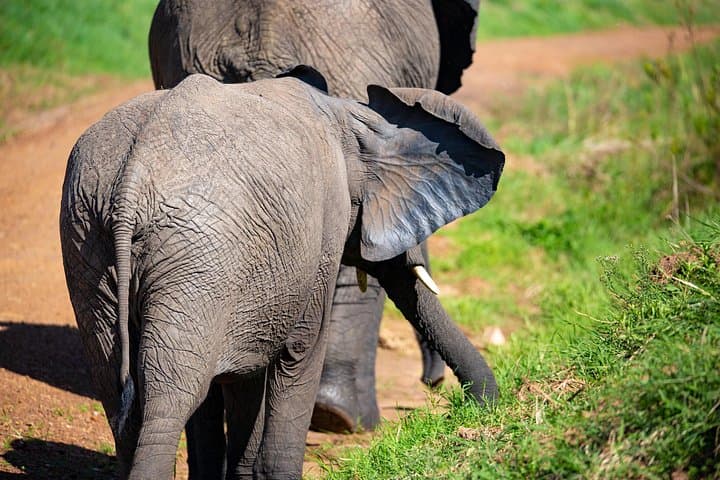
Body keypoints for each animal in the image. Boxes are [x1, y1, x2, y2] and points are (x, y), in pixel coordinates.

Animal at [59, 70, 502, 479]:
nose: (467, 407)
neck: (350, 114)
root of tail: (132, 180)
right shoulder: (318, 231)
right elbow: (299, 352)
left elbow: (244, 377)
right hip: (194, 252)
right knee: (171, 391)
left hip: (91, 241)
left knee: (118, 386)